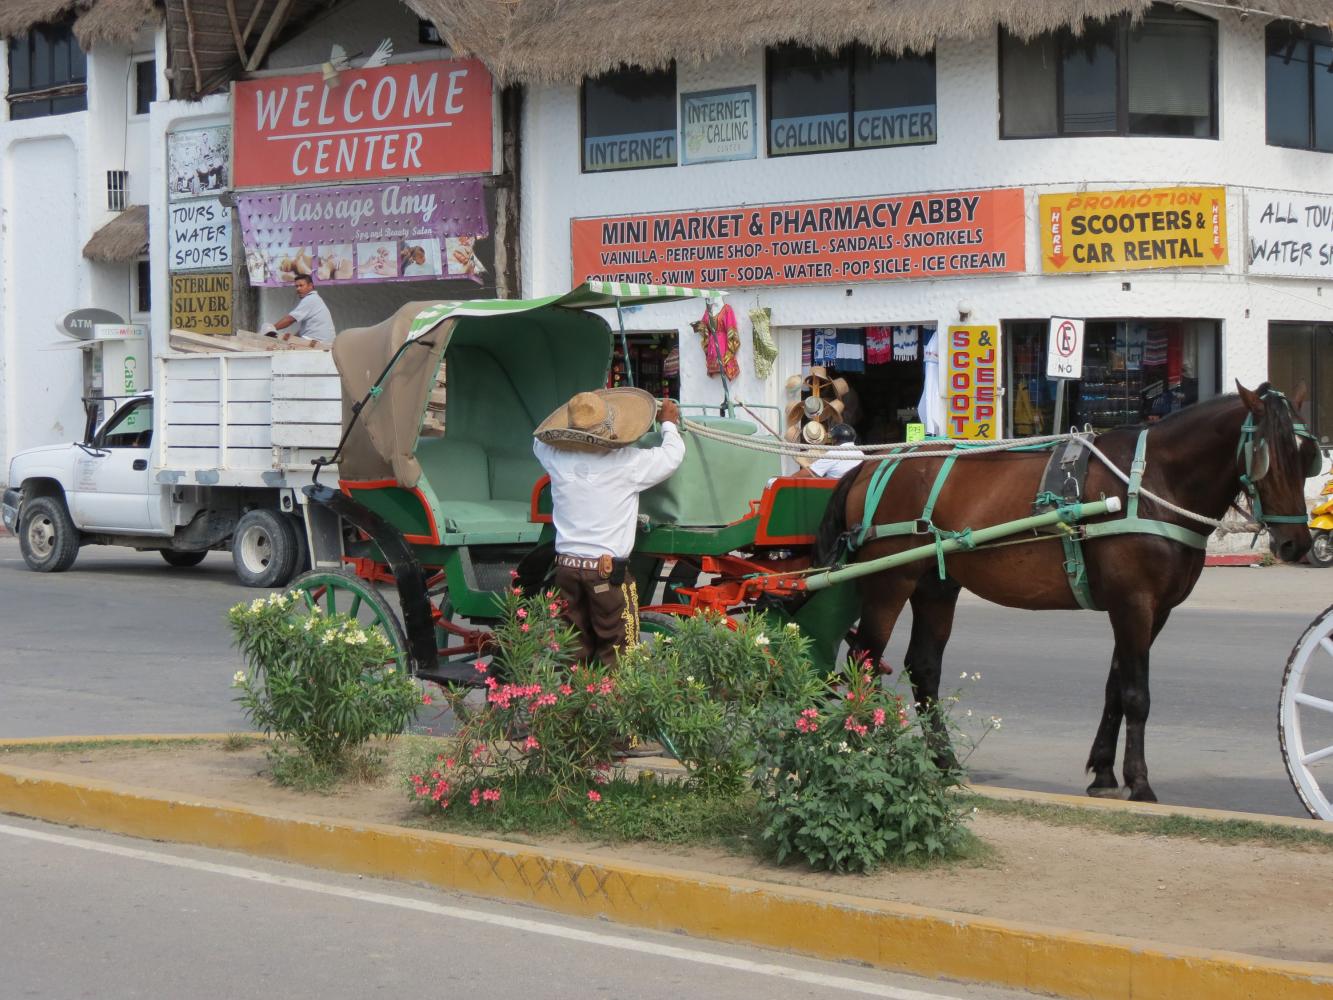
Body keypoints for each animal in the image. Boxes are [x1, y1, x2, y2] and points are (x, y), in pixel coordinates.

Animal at [815, 384, 1317, 805]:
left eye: (1308, 456)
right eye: (1269, 456)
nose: (1297, 544)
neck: (1152, 482)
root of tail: (873, 464)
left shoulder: (1151, 611)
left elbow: (1116, 688)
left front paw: (1104, 774)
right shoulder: (1134, 603)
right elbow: (1137, 694)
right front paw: (1139, 782)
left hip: (935, 586)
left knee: (923, 668)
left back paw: (943, 761)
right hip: (890, 582)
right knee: (864, 660)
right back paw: (859, 746)